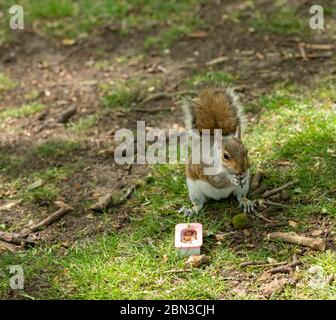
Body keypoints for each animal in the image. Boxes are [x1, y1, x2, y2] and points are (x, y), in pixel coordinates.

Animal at [182, 82, 253, 214]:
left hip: (242, 188)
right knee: (199, 203)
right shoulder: (206, 168)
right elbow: (217, 181)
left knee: (240, 196)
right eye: (225, 156)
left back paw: (246, 202)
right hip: (194, 190)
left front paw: (244, 175)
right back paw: (193, 209)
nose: (241, 170)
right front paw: (231, 179)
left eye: (246, 151)